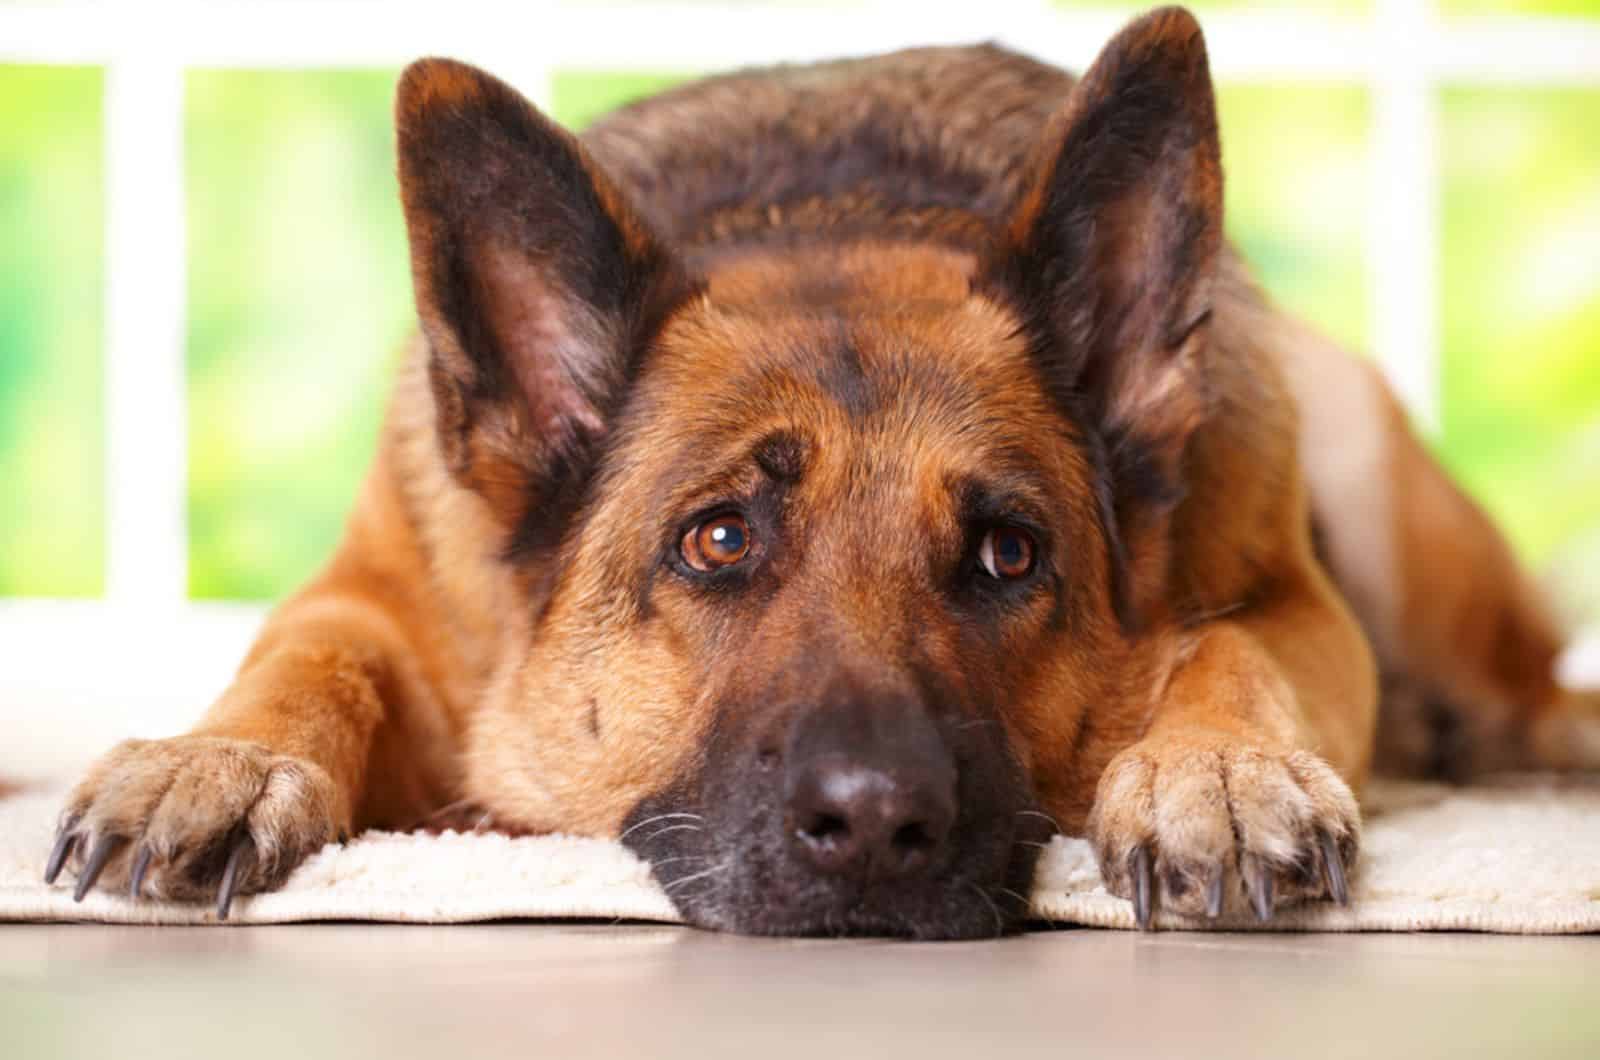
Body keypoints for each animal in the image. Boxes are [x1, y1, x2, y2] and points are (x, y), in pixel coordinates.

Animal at [43, 6, 1593, 941]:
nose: (876, 828)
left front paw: (1212, 769)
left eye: (1009, 554)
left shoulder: (1293, 598)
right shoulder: (376, 596)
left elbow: (1231, 648)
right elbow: (311, 656)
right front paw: (216, 760)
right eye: (718, 540)